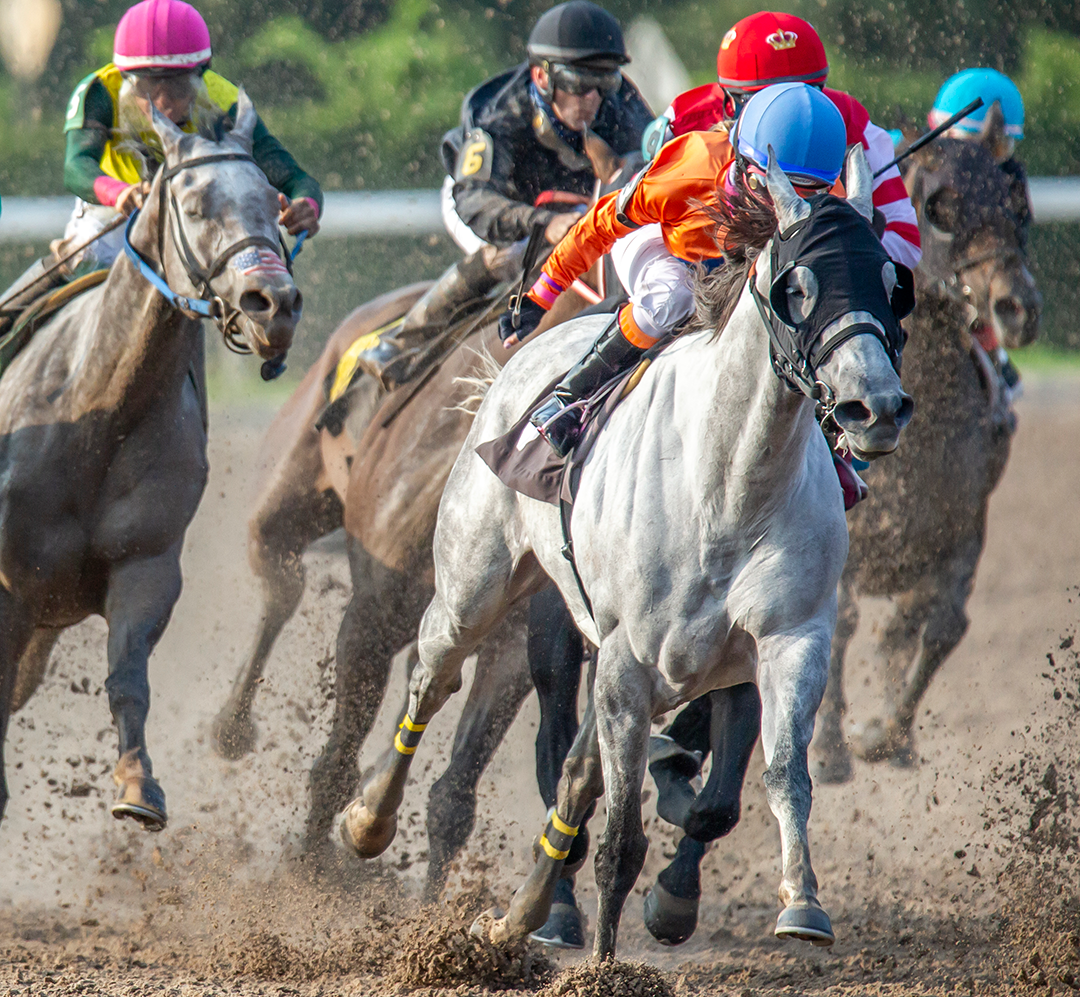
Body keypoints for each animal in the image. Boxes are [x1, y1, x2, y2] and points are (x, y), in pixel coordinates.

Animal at [0, 91, 300, 832]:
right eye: (194, 205)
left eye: (273, 199)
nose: (274, 304)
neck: (100, 413)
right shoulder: (12, 581)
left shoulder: (148, 564)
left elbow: (128, 676)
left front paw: (139, 784)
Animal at [336, 149, 915, 960]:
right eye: (795, 288)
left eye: (894, 285)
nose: (877, 408)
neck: (726, 484)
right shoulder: (630, 658)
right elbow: (620, 839)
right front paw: (605, 966)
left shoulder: (786, 639)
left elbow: (779, 774)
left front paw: (801, 902)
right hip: (477, 583)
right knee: (433, 673)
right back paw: (368, 821)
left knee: (576, 772)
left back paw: (518, 916)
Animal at [638, 124, 1043, 947]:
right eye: (939, 206)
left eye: (1017, 203)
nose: (1015, 307)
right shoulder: (840, 561)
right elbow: (852, 627)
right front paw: (832, 749)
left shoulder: (962, 531)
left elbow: (938, 624)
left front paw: (885, 731)